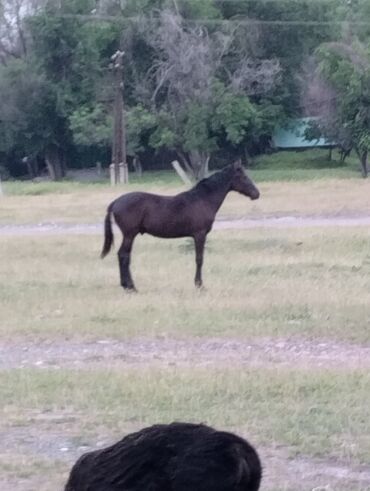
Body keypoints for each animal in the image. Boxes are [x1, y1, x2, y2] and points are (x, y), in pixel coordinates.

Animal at [99, 161, 258, 290]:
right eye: (243, 177)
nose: (256, 194)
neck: (202, 199)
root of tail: (116, 202)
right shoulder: (199, 235)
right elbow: (199, 259)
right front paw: (199, 285)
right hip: (129, 235)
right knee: (123, 255)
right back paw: (130, 287)